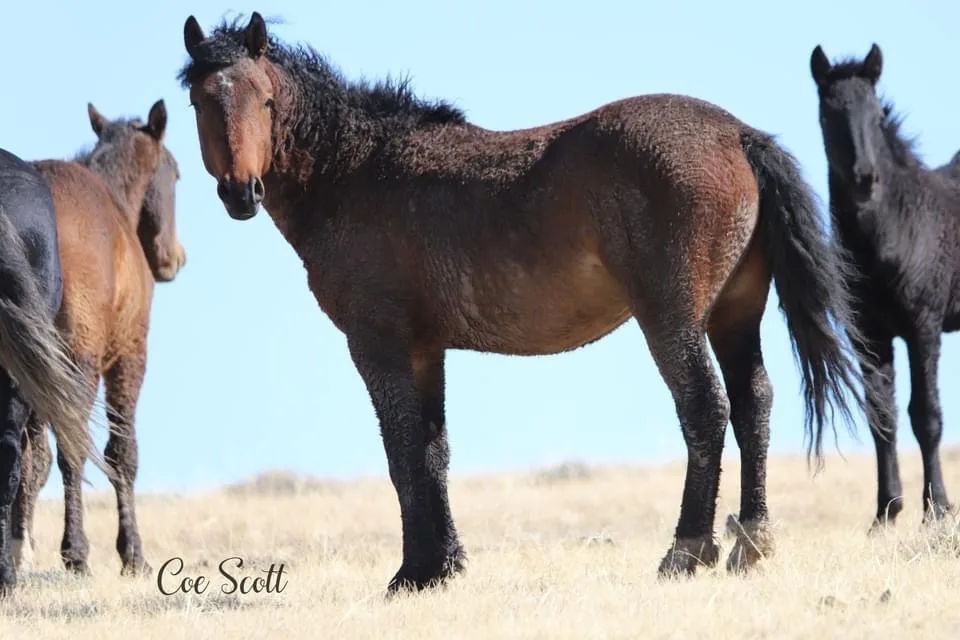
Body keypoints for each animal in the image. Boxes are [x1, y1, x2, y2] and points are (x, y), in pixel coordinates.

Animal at [10, 100, 186, 578]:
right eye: (175, 174)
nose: (173, 258)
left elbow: (34, 460)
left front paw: (21, 544)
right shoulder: (128, 356)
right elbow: (121, 452)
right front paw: (132, 553)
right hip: (79, 362)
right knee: (73, 447)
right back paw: (76, 551)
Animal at [178, 12, 874, 593]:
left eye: (266, 100)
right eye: (199, 101)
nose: (241, 191)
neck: (356, 174)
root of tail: (738, 134)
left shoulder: (377, 344)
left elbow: (402, 452)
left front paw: (412, 572)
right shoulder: (425, 350)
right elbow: (432, 451)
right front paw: (443, 566)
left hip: (671, 319)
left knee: (706, 410)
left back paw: (685, 551)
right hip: (734, 314)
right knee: (754, 403)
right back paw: (751, 544)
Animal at [810, 44, 960, 528]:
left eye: (877, 116)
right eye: (828, 114)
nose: (864, 179)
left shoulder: (924, 326)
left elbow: (926, 414)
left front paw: (937, 509)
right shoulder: (869, 335)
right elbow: (882, 415)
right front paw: (886, 511)